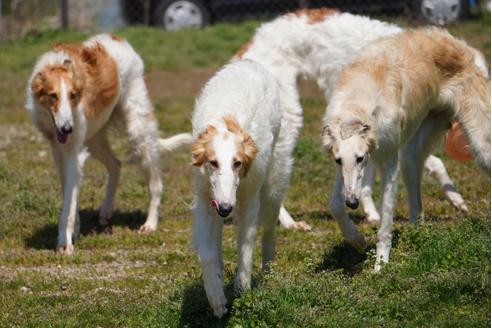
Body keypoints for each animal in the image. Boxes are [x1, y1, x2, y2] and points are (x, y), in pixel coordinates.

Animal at [26, 34, 192, 254]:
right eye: (53, 96)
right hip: (94, 139)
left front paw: (65, 243)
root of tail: (119, 39)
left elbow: (68, 206)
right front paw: (74, 230)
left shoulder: (73, 153)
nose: (67, 129)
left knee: (156, 183)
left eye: (73, 95)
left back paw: (150, 223)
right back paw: (106, 211)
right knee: (116, 165)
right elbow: (70, 197)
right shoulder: (58, 150)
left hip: (138, 132)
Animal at [189, 60, 288, 316]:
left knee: (269, 230)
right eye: (213, 163)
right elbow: (208, 254)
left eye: (238, 163)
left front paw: (242, 291)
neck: (227, 122)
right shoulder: (205, 200)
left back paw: (268, 269)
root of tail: (250, 63)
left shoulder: (249, 199)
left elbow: (246, 248)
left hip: (273, 187)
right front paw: (216, 297)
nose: (225, 208)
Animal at [320, 28, 490, 272]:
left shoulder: (389, 163)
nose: (352, 203)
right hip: (411, 156)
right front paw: (357, 239)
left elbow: (385, 224)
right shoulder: (344, 170)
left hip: (482, 149)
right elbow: (334, 205)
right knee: (417, 210)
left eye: (360, 158)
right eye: (338, 160)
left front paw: (381, 265)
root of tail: (461, 44)